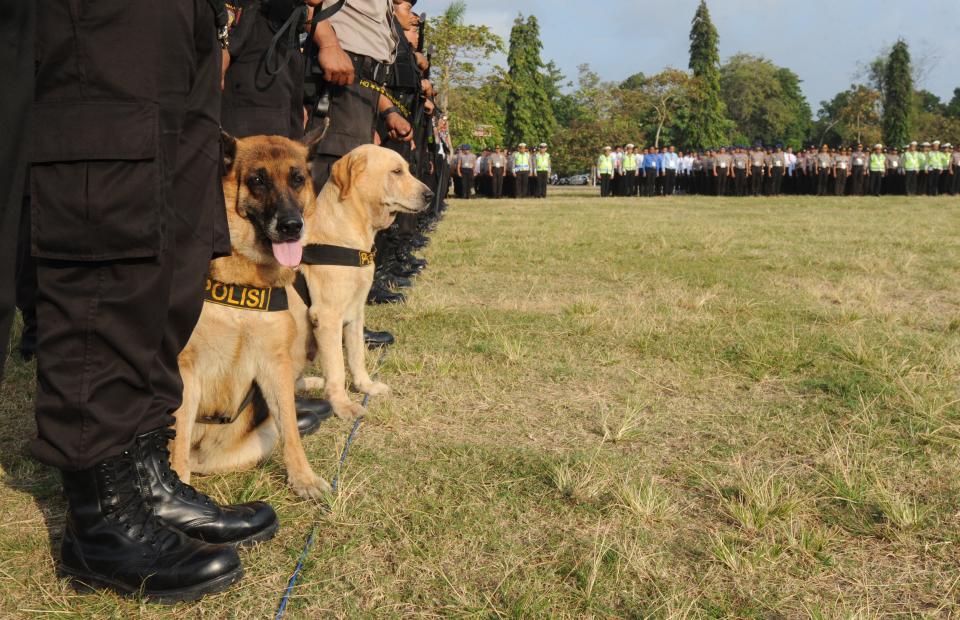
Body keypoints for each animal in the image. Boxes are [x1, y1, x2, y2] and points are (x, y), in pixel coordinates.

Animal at [172, 134, 334, 498]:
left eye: (297, 179)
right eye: (258, 180)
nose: (292, 226)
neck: (244, 278)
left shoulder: (275, 366)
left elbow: (291, 431)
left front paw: (303, 478)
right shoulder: (186, 370)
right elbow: (178, 440)